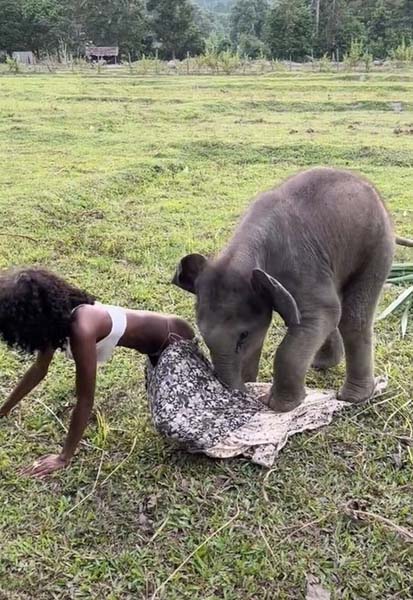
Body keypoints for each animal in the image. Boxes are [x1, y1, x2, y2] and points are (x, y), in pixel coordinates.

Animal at [172, 167, 398, 412]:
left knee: (351, 317)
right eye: (202, 336)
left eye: (243, 335)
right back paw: (321, 364)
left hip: (376, 247)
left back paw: (352, 397)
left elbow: (321, 314)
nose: (242, 393)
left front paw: (278, 405)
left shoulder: (302, 265)